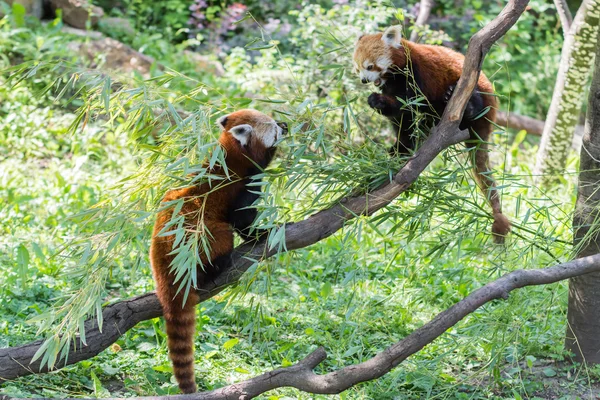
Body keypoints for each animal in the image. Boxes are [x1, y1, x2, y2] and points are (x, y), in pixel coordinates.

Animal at [151, 108, 290, 392]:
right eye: (274, 129)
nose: (286, 125)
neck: (231, 156)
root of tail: (162, 254)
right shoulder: (243, 186)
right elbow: (242, 219)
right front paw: (261, 234)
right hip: (204, 235)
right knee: (222, 237)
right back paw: (214, 270)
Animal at [352, 25, 510, 244]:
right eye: (358, 68)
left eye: (370, 66)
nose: (364, 80)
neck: (394, 73)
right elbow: (402, 120)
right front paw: (399, 147)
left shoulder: (415, 75)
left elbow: (407, 102)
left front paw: (381, 102)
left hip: (480, 91)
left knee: (473, 101)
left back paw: (465, 105)